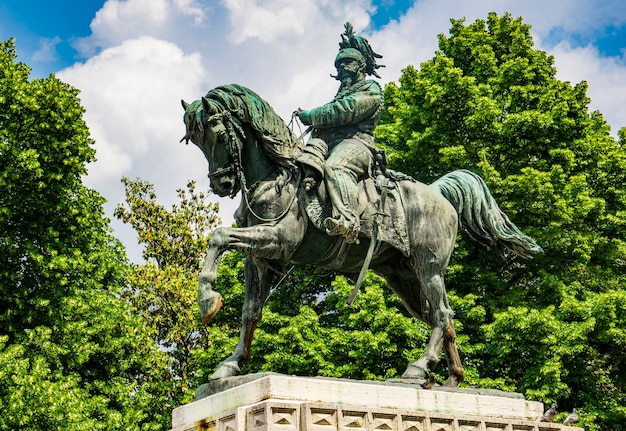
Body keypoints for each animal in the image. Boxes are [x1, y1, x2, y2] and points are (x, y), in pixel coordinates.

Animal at [178, 82, 540, 386]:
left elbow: (218, 237)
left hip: (429, 268)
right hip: (404, 278)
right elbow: (250, 309)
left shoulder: (277, 240)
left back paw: (419, 368)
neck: (274, 175)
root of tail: (438, 192)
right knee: (442, 317)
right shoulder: (260, 259)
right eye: (196, 141)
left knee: (441, 314)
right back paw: (450, 379)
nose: (222, 184)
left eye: (218, 135)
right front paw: (231, 364)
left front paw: (207, 300)